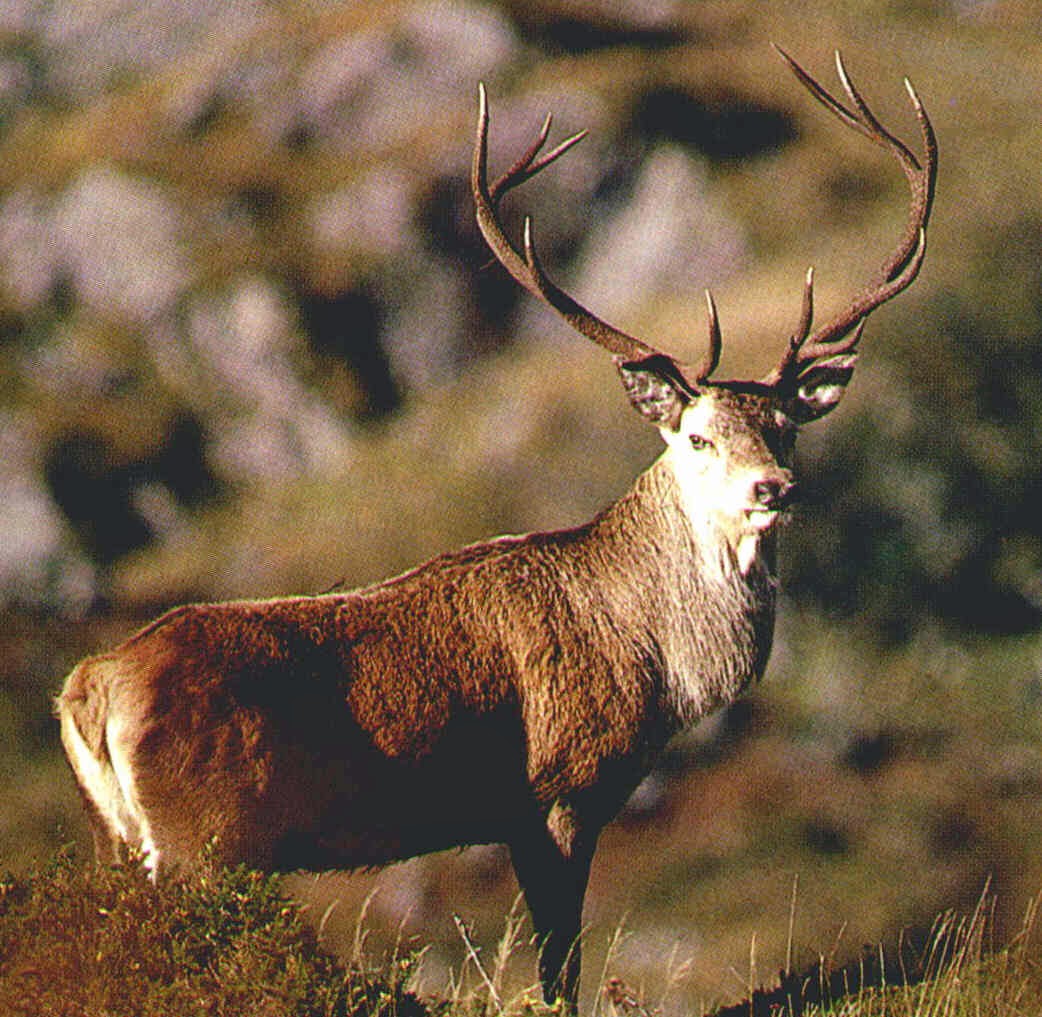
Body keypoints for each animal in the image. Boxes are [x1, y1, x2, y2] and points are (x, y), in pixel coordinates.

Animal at [57, 48, 935, 1011]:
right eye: (699, 435)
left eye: (784, 425)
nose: (773, 486)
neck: (656, 658)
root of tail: (90, 688)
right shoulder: (557, 790)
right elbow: (560, 966)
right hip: (195, 843)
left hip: (125, 838)